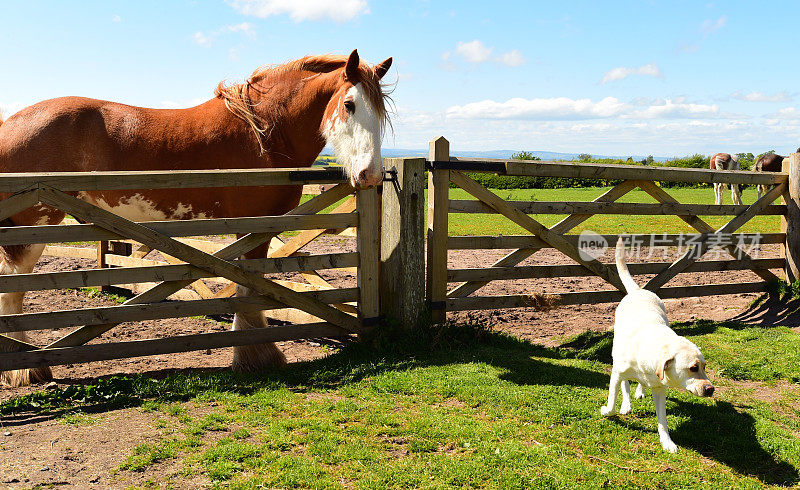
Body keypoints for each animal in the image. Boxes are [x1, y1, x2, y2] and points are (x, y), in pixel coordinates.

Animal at [0, 49, 394, 386]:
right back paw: (26, 369)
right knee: (14, 286)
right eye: (349, 104)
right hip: (32, 226)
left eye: (381, 113)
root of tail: (10, 123)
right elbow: (249, 290)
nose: (371, 174)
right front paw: (256, 356)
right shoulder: (257, 224)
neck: (264, 131)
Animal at [604, 238, 716, 452]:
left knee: (639, 383)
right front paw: (608, 410)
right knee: (625, 384)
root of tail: (638, 291)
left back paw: (640, 391)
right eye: (693, 368)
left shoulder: (659, 388)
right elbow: (613, 400)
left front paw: (667, 442)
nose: (710, 389)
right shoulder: (616, 373)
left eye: (705, 367)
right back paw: (627, 403)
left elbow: (662, 420)